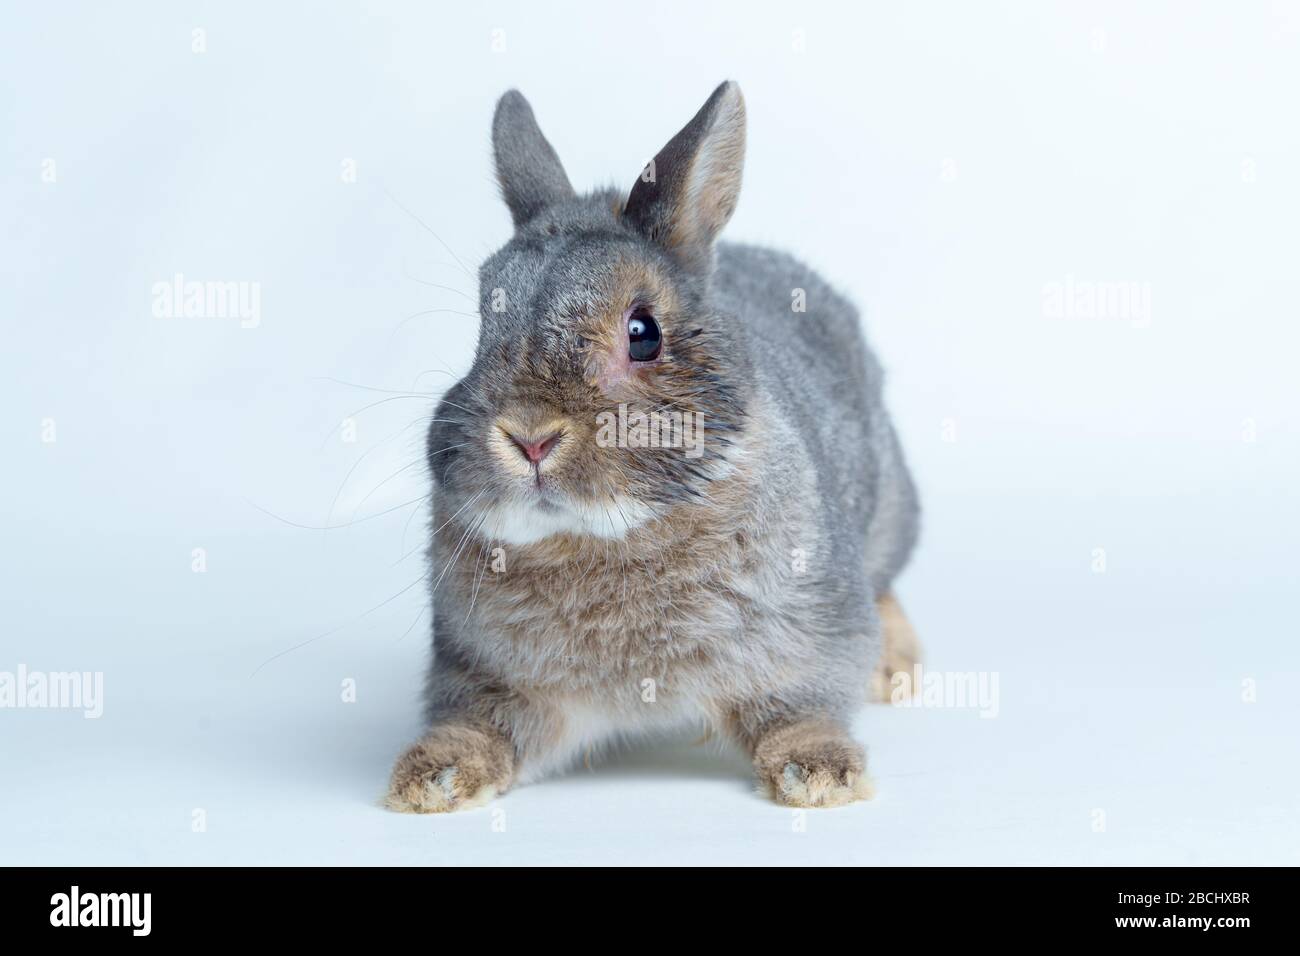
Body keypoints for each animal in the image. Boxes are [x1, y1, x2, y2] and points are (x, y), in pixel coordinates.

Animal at [386, 81, 921, 813]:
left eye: (643, 333)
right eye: (483, 323)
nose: (529, 436)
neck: (605, 537)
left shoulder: (814, 637)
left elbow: (801, 708)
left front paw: (821, 776)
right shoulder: (485, 674)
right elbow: (478, 725)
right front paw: (429, 780)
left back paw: (897, 669)